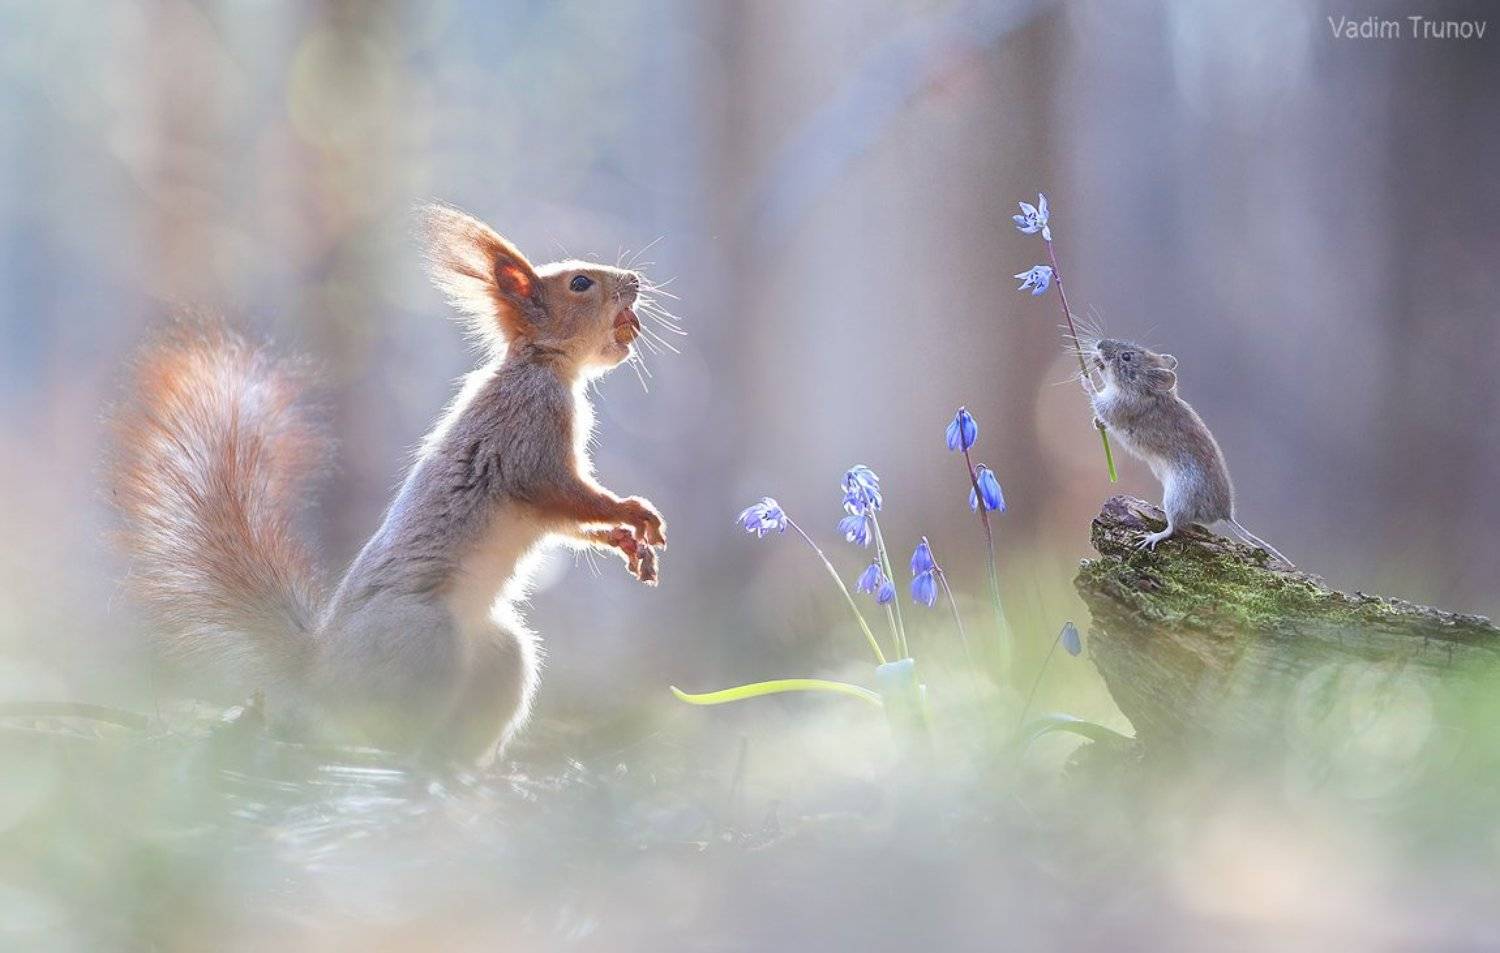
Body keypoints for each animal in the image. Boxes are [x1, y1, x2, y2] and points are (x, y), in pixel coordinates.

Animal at [108, 205, 667, 764]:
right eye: (580, 283)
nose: (636, 281)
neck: (540, 365)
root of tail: (321, 669)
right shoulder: (529, 438)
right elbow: (565, 494)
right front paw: (635, 514)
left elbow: (567, 522)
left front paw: (629, 543)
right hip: (426, 642)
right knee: (378, 725)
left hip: (499, 657)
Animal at [1084, 337, 1291, 566]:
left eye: (1126, 357)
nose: (1099, 345)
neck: (1150, 393)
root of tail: (1225, 514)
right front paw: (1096, 422)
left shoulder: (1117, 407)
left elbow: (1097, 399)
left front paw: (1085, 378)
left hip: (1176, 497)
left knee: (1174, 528)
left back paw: (1151, 538)